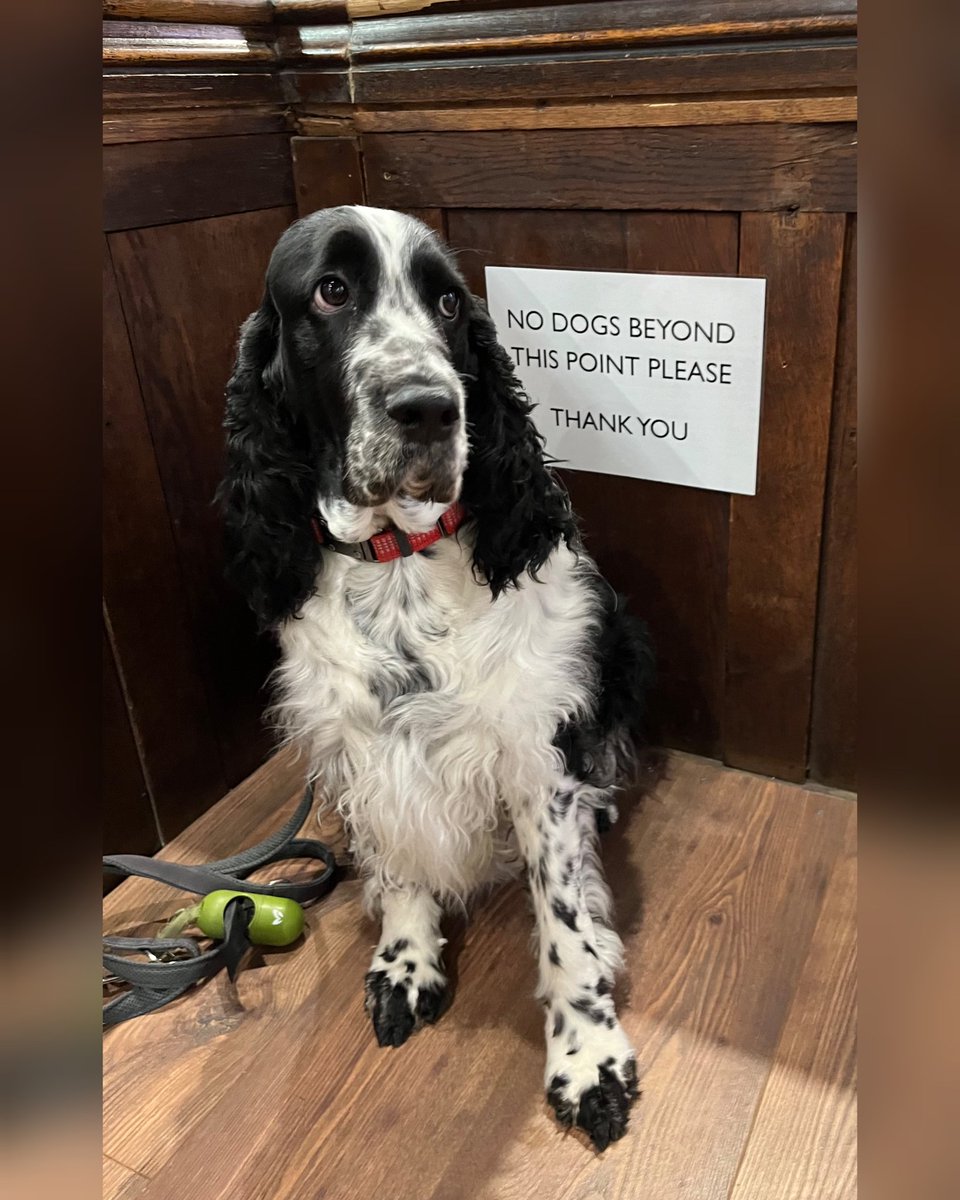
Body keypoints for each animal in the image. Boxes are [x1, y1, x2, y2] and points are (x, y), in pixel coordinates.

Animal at [219, 208, 652, 1152]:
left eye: (449, 302)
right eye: (331, 291)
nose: (429, 406)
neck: (398, 562)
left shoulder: (538, 754)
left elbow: (564, 923)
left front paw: (588, 1058)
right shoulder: (359, 747)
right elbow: (397, 860)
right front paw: (407, 960)